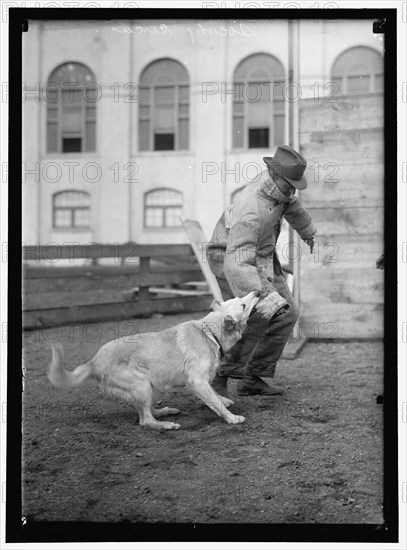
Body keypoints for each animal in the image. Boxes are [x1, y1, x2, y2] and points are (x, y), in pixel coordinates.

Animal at [47, 294, 258, 432]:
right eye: (243, 305)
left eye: (240, 298)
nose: (256, 292)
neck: (210, 332)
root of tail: (93, 361)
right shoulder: (196, 381)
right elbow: (215, 403)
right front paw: (232, 418)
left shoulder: (203, 381)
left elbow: (215, 395)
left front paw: (224, 399)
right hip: (140, 385)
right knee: (145, 420)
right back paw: (166, 425)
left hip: (145, 387)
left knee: (148, 411)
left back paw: (166, 411)